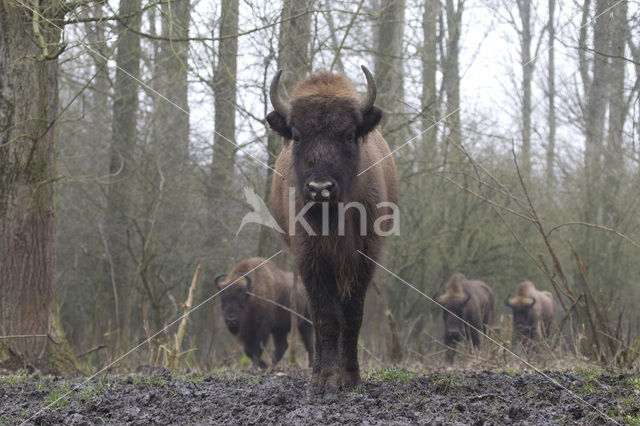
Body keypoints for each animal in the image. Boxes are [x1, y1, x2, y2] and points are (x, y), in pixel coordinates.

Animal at [266, 65, 398, 392]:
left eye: (349, 134)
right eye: (297, 135)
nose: (320, 188)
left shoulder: (365, 257)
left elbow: (352, 315)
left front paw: (349, 376)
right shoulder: (309, 258)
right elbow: (325, 315)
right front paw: (325, 379)